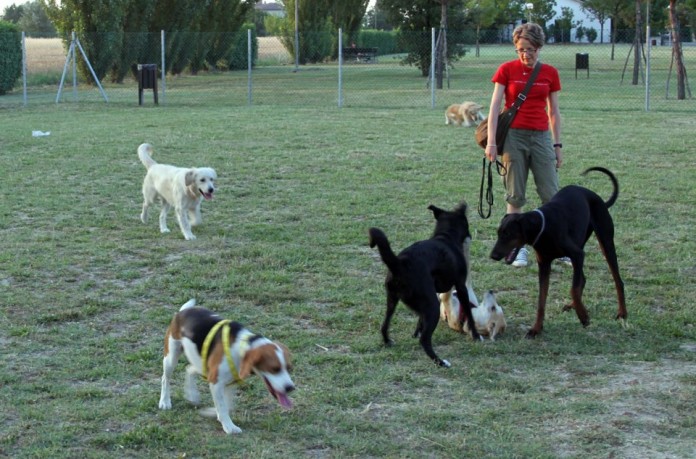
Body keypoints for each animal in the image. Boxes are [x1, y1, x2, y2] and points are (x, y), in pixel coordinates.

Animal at [370, 203, 478, 368]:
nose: (470, 236)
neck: (446, 236)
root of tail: (400, 264)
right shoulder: (461, 287)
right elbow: (469, 312)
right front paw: (476, 335)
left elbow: (420, 319)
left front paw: (416, 331)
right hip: (433, 306)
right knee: (425, 340)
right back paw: (441, 362)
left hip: (392, 300)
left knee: (384, 325)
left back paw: (388, 341)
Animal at [486, 168, 628, 338]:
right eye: (498, 233)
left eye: (507, 234)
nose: (493, 256)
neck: (543, 226)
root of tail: (598, 198)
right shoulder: (544, 264)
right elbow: (541, 300)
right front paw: (536, 328)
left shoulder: (577, 254)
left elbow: (573, 289)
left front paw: (583, 317)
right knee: (583, 279)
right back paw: (572, 306)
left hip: (605, 242)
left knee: (617, 280)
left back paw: (622, 313)